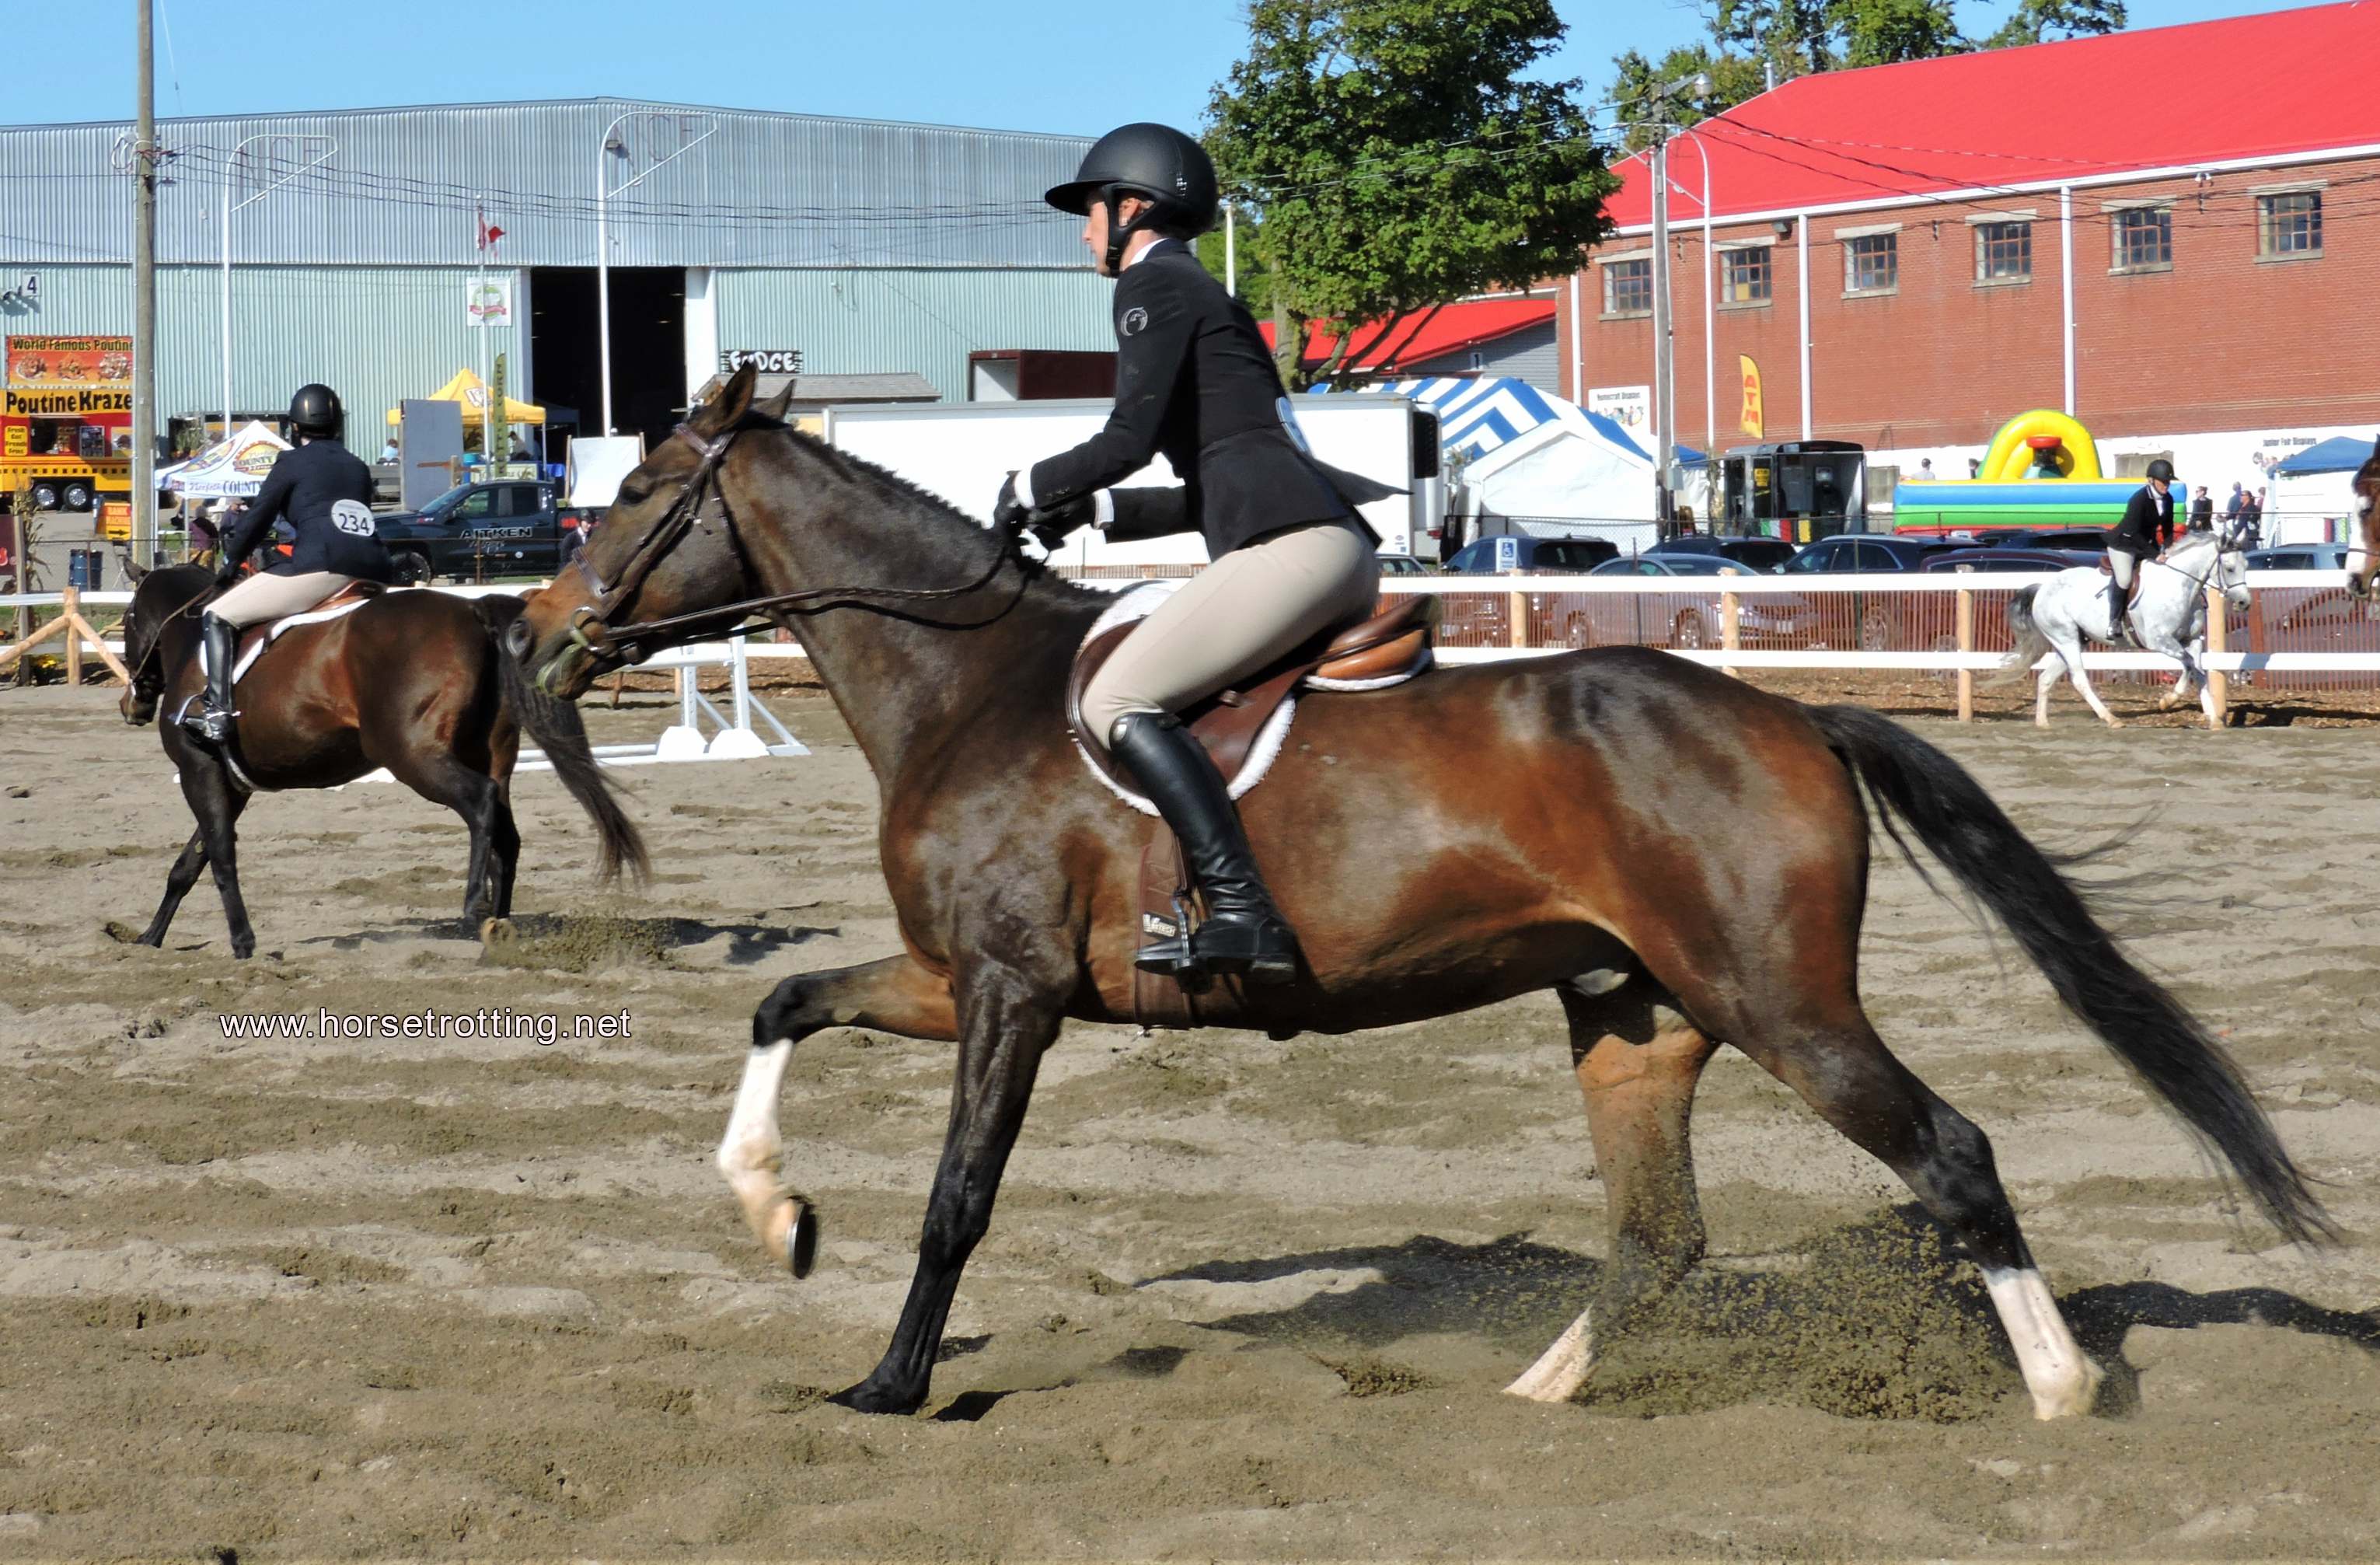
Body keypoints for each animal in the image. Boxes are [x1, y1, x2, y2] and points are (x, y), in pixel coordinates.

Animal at [117, 562, 647, 958]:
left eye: (127, 619)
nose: (131, 705)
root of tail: (472, 607)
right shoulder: (233, 784)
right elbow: (190, 862)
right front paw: (149, 939)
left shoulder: (199, 771)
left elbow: (221, 856)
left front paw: (243, 943)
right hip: (489, 753)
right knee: (505, 833)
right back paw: (498, 926)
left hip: (411, 756)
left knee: (480, 803)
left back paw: (473, 907)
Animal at [1998, 528, 2251, 730]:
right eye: (2229, 568)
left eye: (2246, 566)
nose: (2244, 603)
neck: (2179, 586)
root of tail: (2043, 587)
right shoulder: (2160, 641)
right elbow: (2188, 665)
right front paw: (2167, 701)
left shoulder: (2193, 640)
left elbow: (2198, 673)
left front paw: (2214, 720)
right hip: (2066, 638)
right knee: (2079, 679)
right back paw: (2111, 719)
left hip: (2073, 641)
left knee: (2046, 679)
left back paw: (2042, 722)